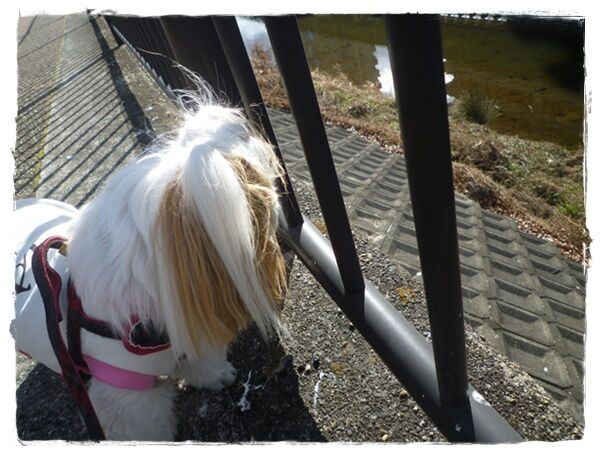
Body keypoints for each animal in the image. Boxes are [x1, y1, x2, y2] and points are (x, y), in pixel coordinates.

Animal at [13, 91, 288, 441]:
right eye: (245, 146)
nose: (261, 139)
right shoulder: (128, 398)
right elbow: (145, 424)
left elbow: (203, 360)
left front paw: (216, 376)